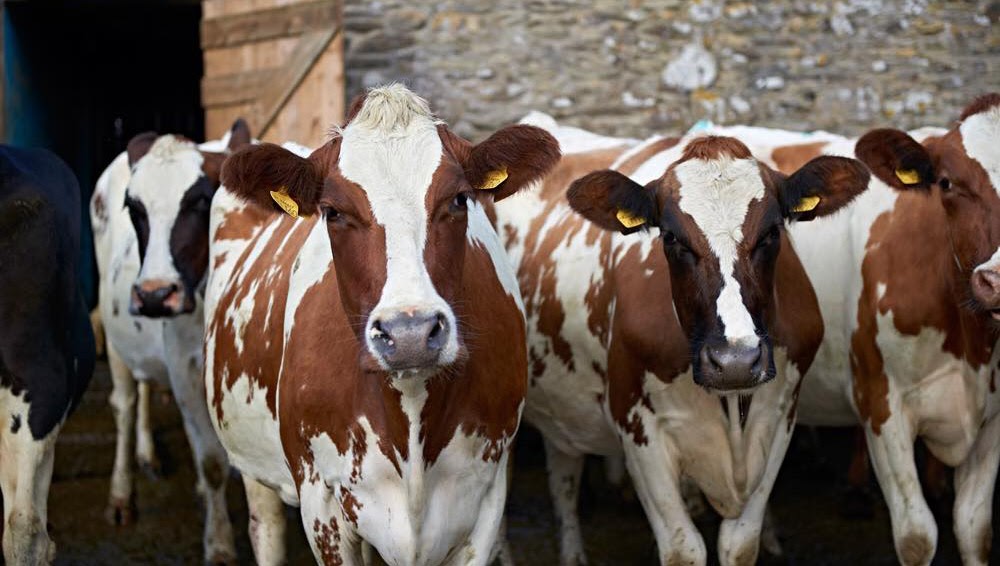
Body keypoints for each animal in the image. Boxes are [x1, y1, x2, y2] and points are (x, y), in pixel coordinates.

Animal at [90, 120, 252, 564]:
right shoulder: (183, 365)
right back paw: (121, 494)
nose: (156, 295)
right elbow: (211, 461)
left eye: (201, 200)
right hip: (113, 332)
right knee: (125, 404)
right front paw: (219, 544)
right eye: (134, 208)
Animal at [203, 84, 560, 565]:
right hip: (254, 463)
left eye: (458, 199)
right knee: (267, 528)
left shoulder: (485, 500)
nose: (410, 334)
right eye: (332, 211)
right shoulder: (322, 505)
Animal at [494, 121, 871, 565]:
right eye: (672, 238)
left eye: (772, 232)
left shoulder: (780, 417)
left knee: (564, 475)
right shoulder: (639, 430)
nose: (735, 360)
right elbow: (683, 547)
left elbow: (741, 543)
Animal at [737, 93, 1000, 566]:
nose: (998, 279)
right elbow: (917, 536)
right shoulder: (882, 404)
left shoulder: (993, 417)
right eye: (947, 183)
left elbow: (975, 531)